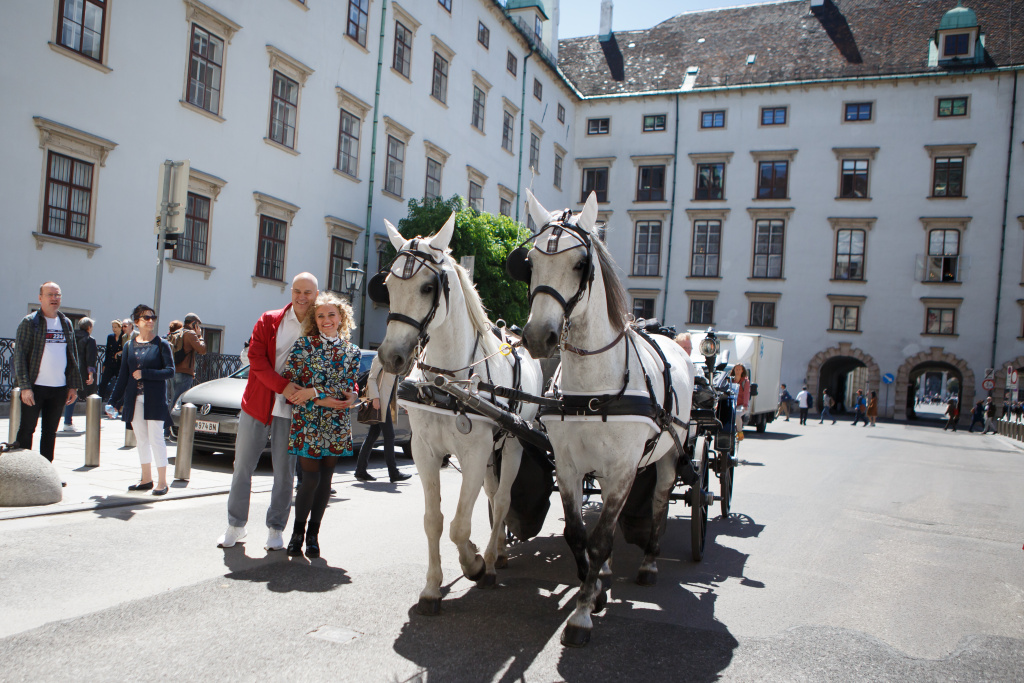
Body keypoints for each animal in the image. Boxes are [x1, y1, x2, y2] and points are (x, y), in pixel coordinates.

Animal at [372, 213, 544, 615]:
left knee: (503, 499)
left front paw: (475, 564)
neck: (447, 383)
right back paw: (497, 551)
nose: (391, 357)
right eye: (388, 285)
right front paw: (432, 587)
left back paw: (493, 560)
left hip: (512, 443)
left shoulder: (474, 450)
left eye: (427, 287)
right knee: (492, 496)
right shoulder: (425, 451)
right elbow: (435, 521)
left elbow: (459, 525)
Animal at [510, 189, 697, 647]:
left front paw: (581, 614)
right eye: (531, 264)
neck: (593, 388)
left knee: (660, 501)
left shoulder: (622, 469)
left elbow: (601, 537)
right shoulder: (569, 467)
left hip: (666, 457)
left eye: (581, 264)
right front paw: (591, 591)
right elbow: (579, 535)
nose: (537, 337)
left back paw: (648, 564)